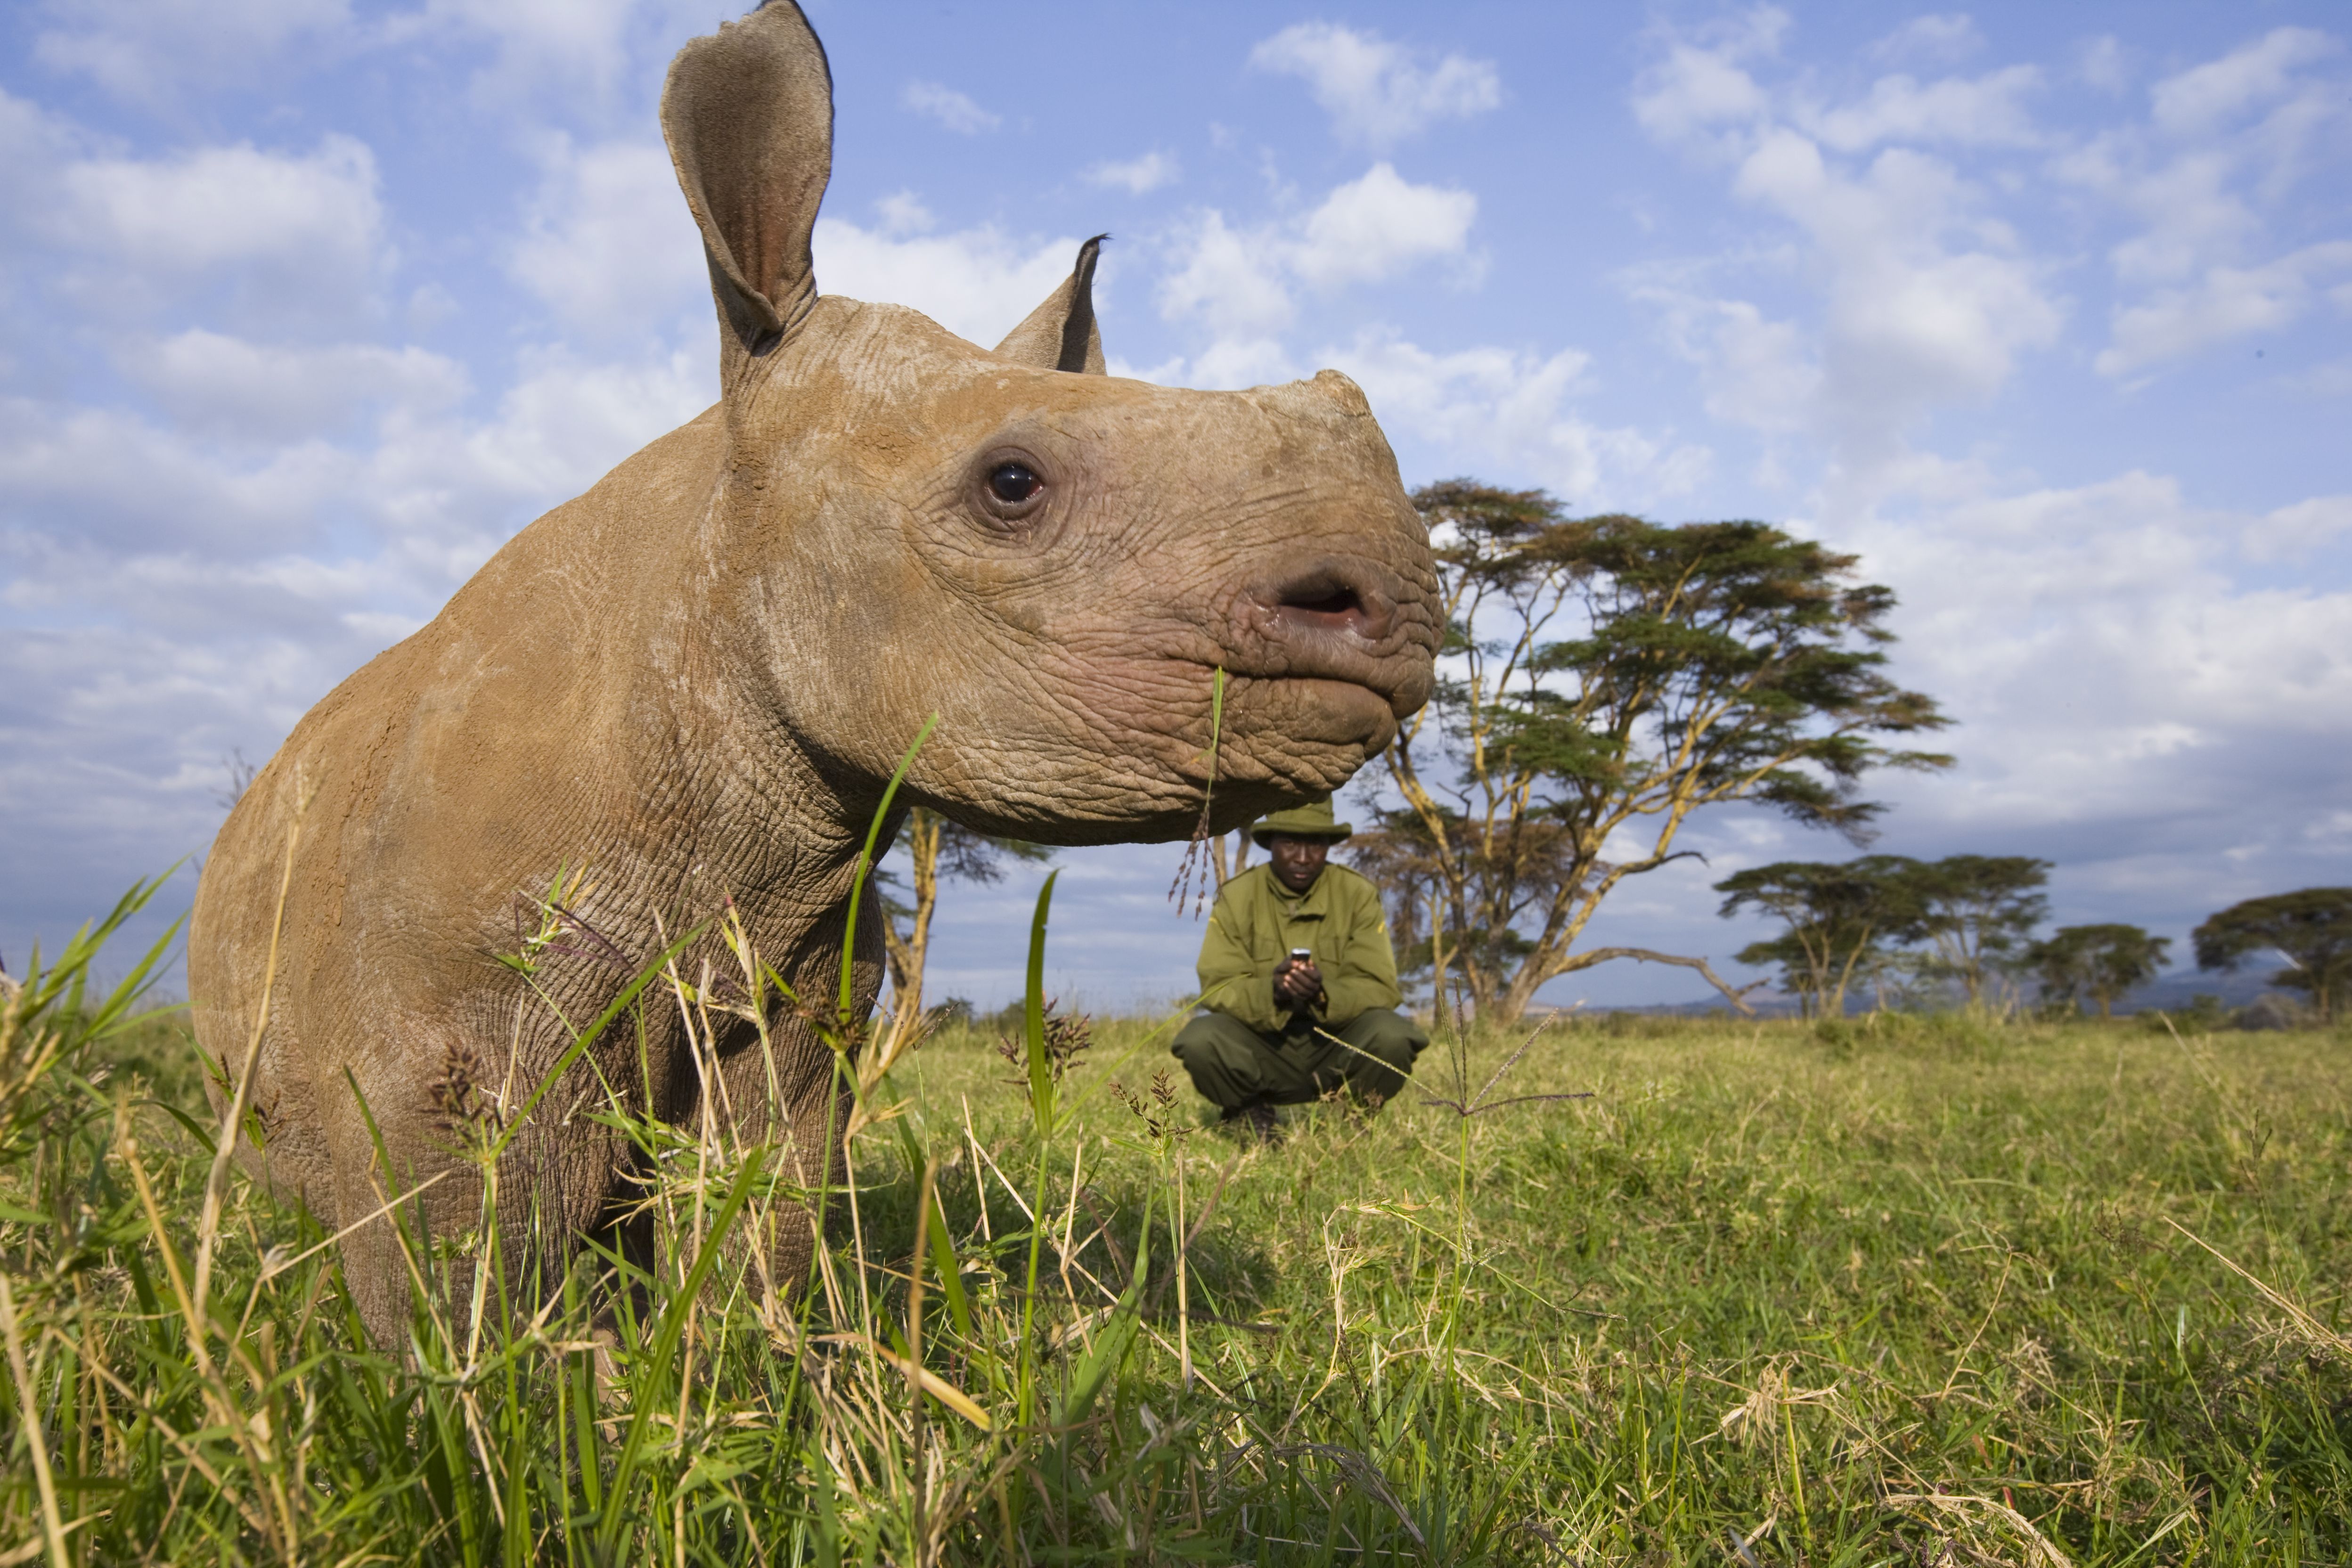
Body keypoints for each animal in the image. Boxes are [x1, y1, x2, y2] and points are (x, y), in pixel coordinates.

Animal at [188, 0, 1430, 1354]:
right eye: (1011, 485)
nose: (1400, 610)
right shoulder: (436, 1058)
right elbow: (468, 1294)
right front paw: (480, 1403)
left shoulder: (800, 984)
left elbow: (764, 1224)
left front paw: (755, 1372)